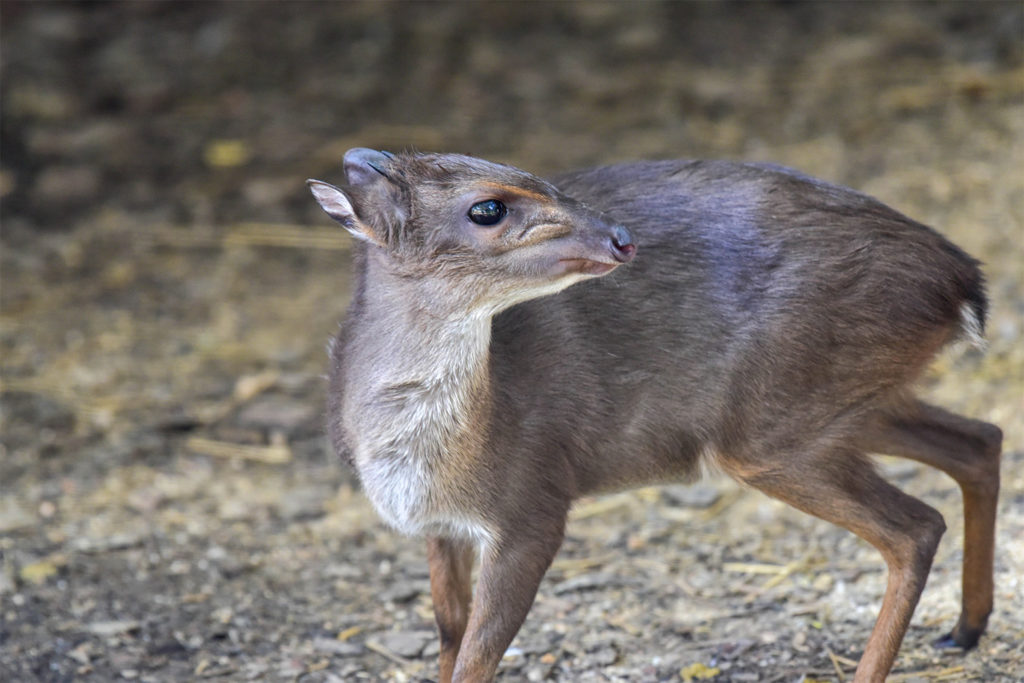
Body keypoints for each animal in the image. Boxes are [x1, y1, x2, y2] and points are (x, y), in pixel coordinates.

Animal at [307, 149, 1003, 683]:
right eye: (488, 207)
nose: (621, 237)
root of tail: (961, 283)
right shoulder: (441, 527)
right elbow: (450, 634)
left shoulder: (534, 504)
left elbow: (479, 653)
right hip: (843, 404)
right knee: (980, 439)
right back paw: (965, 629)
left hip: (778, 420)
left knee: (916, 525)